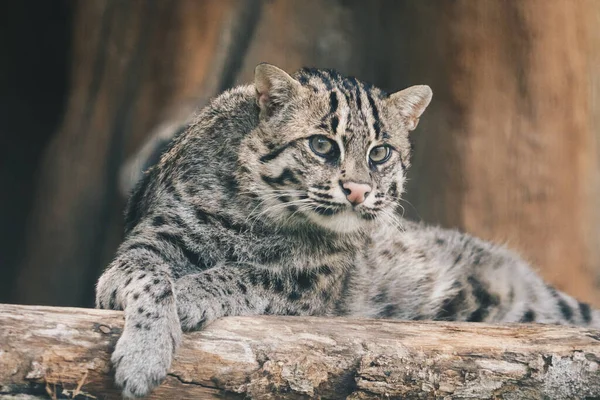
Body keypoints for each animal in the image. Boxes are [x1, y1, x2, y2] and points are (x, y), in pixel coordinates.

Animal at [96, 62, 596, 396]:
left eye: (380, 153)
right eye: (321, 145)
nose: (357, 190)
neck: (259, 213)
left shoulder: (313, 282)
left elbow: (248, 273)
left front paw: (188, 298)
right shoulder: (150, 240)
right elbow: (151, 279)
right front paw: (145, 355)